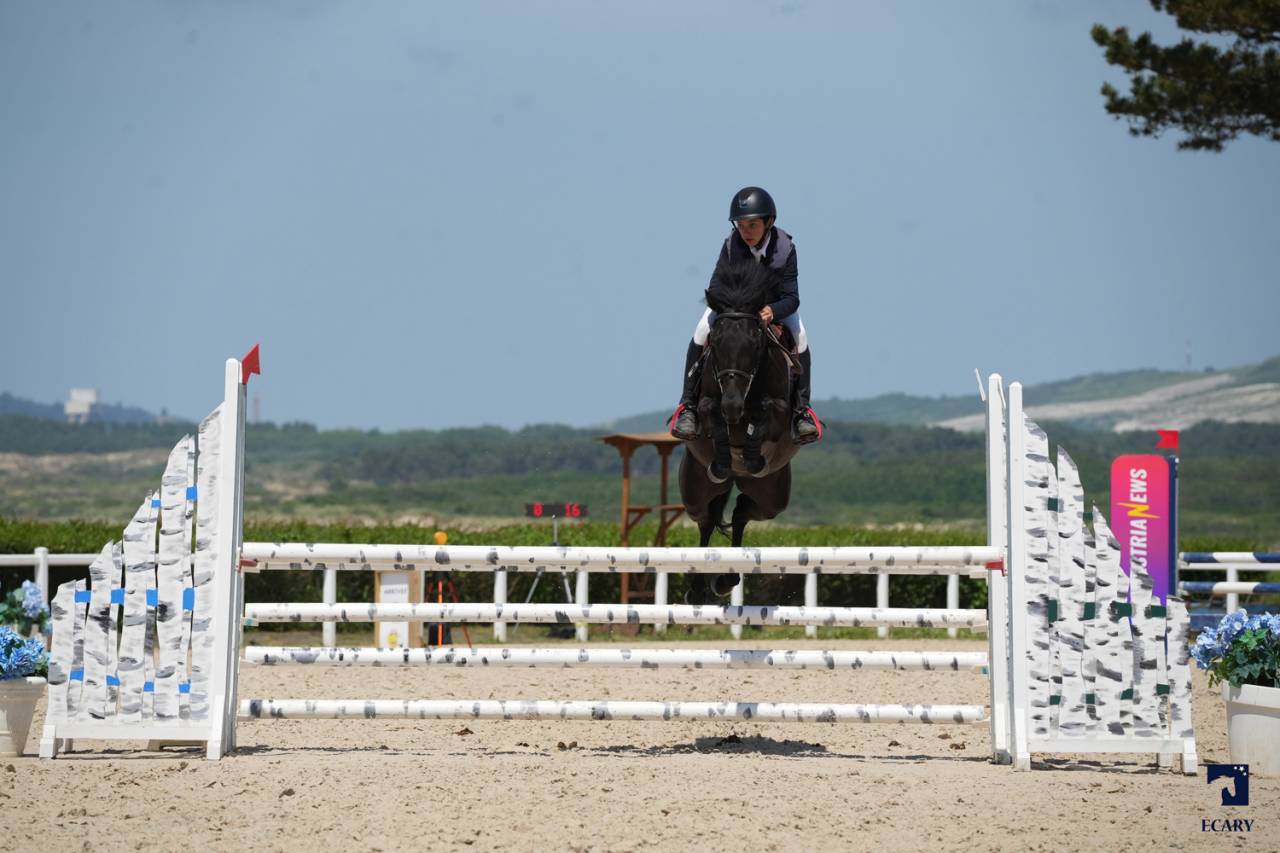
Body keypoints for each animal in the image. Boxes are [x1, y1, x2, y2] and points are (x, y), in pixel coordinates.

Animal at [677, 261, 803, 605]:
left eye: (756, 344)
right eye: (716, 344)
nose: (733, 405)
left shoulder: (779, 412)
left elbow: (765, 415)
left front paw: (750, 454)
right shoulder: (709, 402)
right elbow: (711, 414)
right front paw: (723, 458)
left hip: (771, 496)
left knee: (742, 512)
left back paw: (726, 578)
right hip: (695, 489)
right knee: (706, 519)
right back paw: (697, 588)